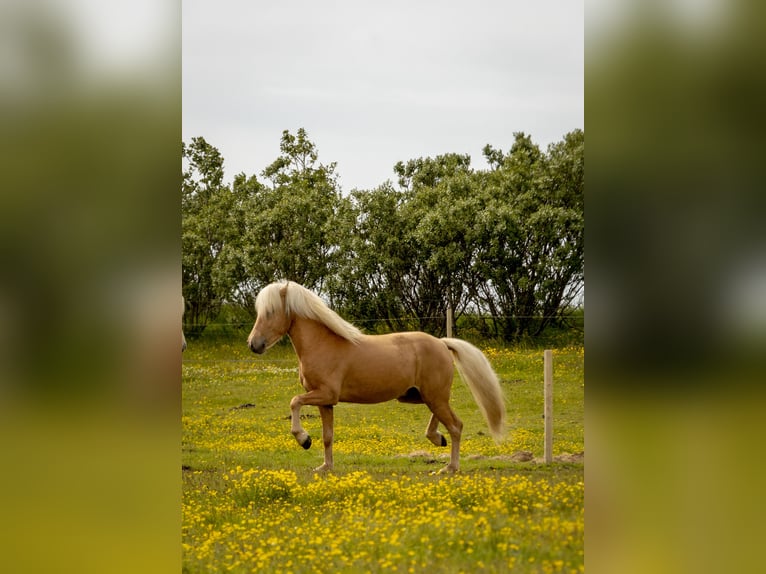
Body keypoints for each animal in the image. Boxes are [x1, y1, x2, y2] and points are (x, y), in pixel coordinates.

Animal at [247, 281, 506, 474]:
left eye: (270, 312)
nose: (253, 345)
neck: (323, 344)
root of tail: (442, 343)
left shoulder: (324, 394)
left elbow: (294, 402)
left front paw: (303, 439)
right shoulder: (326, 401)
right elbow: (328, 436)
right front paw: (325, 466)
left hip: (433, 396)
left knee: (455, 425)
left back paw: (450, 467)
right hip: (418, 396)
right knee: (444, 419)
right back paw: (437, 439)